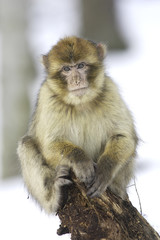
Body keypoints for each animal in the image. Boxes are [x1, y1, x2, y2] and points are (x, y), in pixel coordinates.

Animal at [16, 36, 138, 215]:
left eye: (81, 66)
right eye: (66, 68)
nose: (76, 80)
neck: (81, 103)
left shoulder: (109, 90)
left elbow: (124, 136)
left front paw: (104, 170)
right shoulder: (48, 98)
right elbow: (49, 145)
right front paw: (81, 160)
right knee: (26, 144)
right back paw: (55, 198)